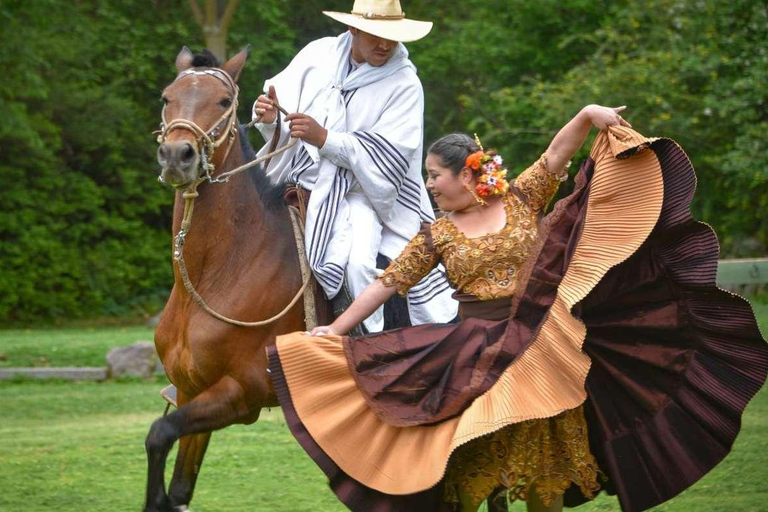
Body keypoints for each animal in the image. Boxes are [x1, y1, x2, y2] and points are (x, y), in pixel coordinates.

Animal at [145, 46, 306, 510]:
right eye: (167, 97)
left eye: (222, 101)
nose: (177, 155)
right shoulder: (190, 390)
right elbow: (179, 486)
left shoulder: (241, 392)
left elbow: (158, 433)